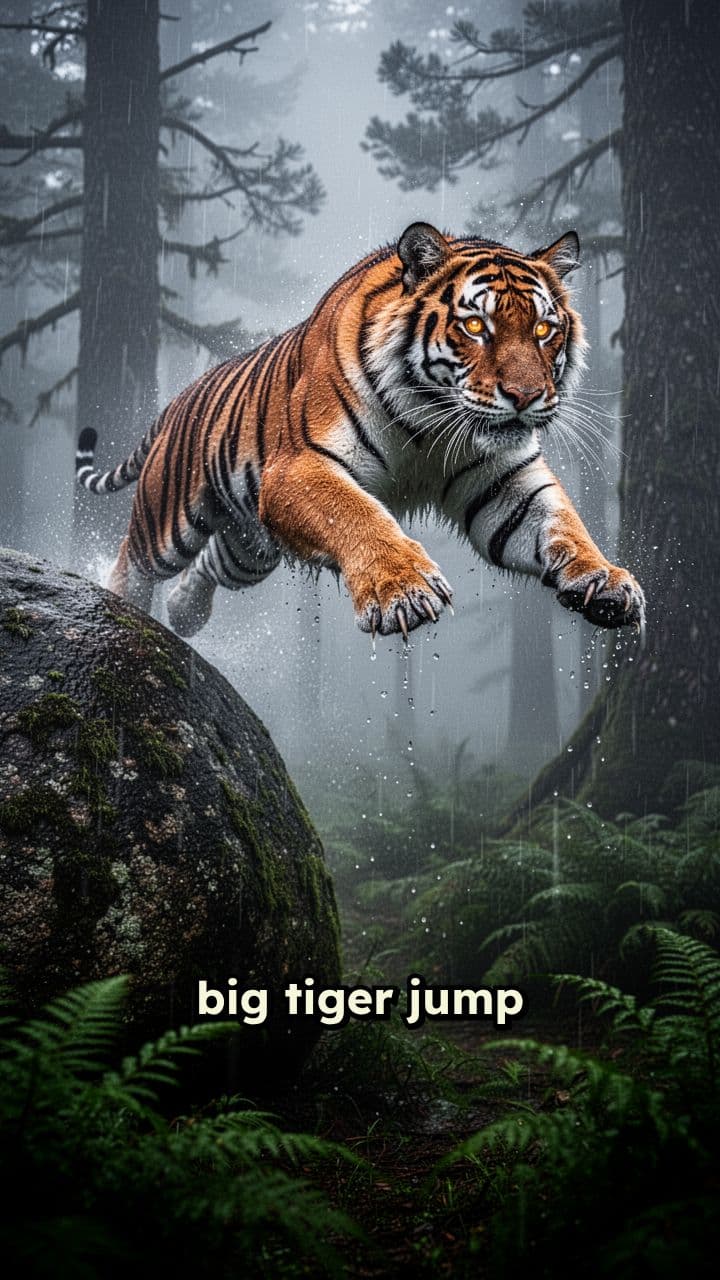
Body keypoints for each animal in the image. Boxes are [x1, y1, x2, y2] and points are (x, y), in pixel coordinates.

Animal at [75, 221, 645, 642]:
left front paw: (606, 579)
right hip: (169, 519)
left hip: (251, 546)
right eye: (475, 326)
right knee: (133, 560)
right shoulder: (298, 467)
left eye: (544, 330)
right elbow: (355, 513)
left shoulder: (504, 482)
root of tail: (176, 401)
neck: (431, 421)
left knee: (212, 564)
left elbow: (561, 523)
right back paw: (118, 611)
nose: (526, 397)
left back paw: (184, 612)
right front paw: (403, 590)